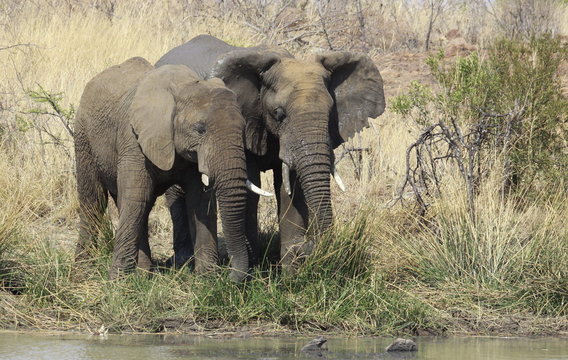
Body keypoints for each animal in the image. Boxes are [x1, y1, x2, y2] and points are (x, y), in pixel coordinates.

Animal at [73, 56, 264, 282]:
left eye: (243, 128)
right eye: (200, 129)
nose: (230, 277)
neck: (183, 87)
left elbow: (200, 201)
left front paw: (206, 279)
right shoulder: (134, 140)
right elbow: (135, 198)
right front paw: (118, 282)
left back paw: (144, 273)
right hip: (83, 136)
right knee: (94, 200)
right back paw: (84, 267)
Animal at [156, 35, 386, 270]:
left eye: (331, 113)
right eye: (279, 114)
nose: (308, 247)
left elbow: (289, 188)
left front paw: (291, 272)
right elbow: (250, 188)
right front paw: (253, 269)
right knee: (177, 192)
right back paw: (183, 261)